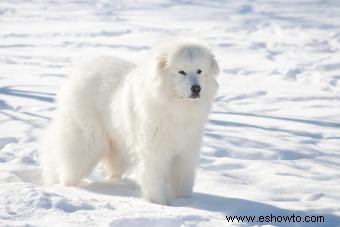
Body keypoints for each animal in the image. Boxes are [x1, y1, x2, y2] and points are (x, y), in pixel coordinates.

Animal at [39, 38, 219, 205]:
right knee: (70, 169)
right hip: (86, 143)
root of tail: (79, 71)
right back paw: (68, 189)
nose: (196, 89)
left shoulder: (186, 152)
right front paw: (159, 204)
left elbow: (183, 181)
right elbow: (154, 180)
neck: (175, 107)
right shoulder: (154, 151)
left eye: (199, 71)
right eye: (181, 71)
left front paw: (186, 201)